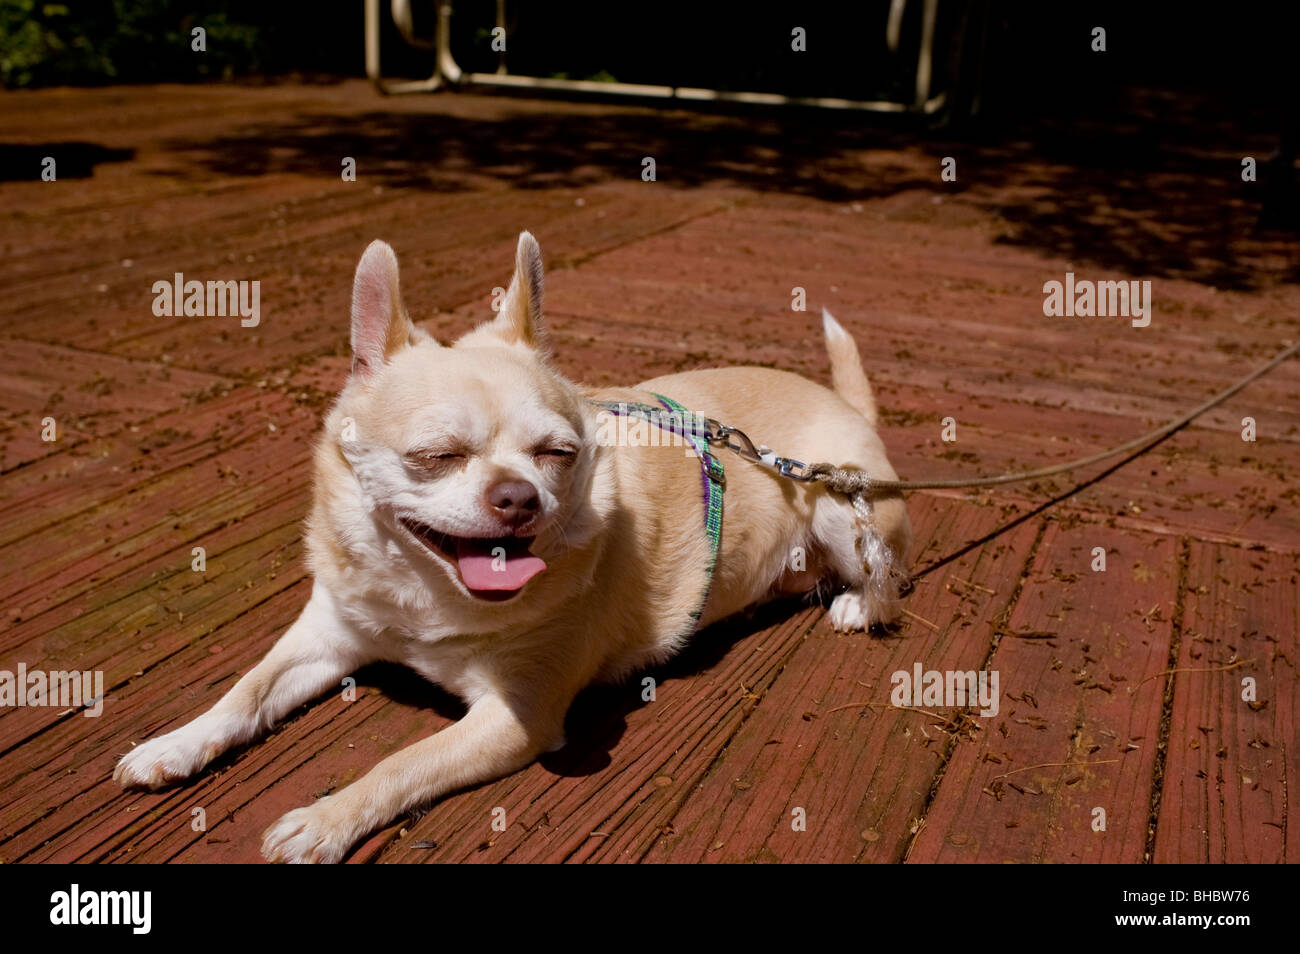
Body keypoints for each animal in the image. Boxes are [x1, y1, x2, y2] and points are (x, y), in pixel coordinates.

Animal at [114, 233, 915, 868]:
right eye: (436, 456)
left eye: (558, 454)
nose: (518, 496)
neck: (423, 595)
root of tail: (846, 405)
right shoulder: (327, 635)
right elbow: (246, 690)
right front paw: (176, 744)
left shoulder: (513, 717)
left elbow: (403, 762)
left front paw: (325, 819)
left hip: (841, 506)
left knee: (887, 575)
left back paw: (855, 604)